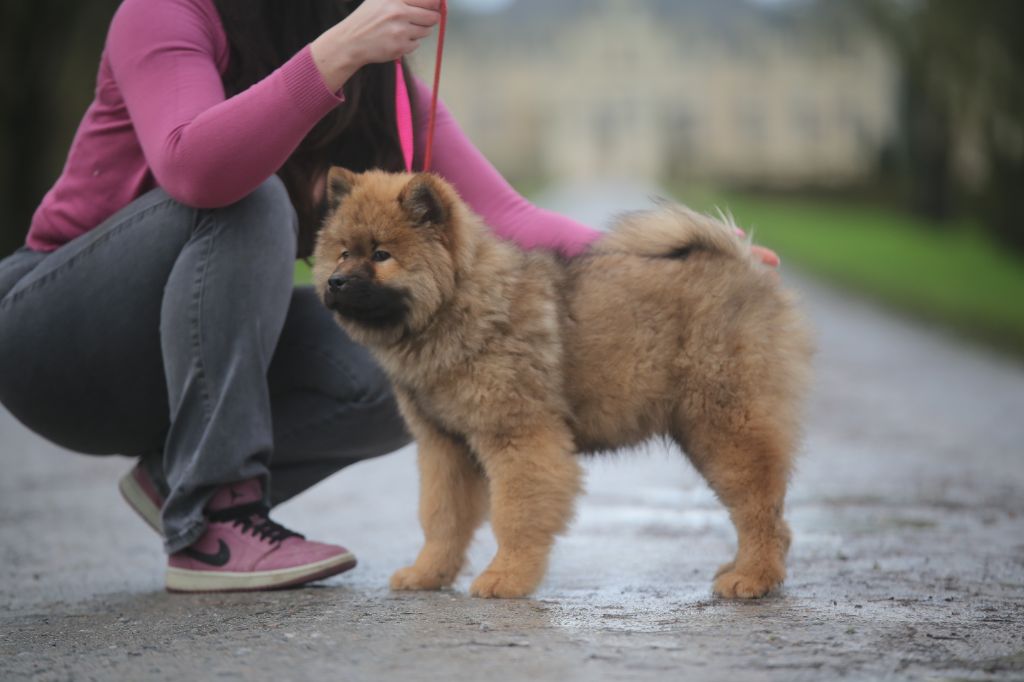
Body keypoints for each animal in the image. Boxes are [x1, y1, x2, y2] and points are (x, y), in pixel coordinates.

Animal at [315, 166, 811, 598]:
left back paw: (752, 578)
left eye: (381, 254)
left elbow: (516, 514)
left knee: (760, 509)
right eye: (343, 251)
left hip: (724, 424)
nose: (336, 282)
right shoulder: (444, 447)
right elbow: (442, 518)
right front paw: (428, 573)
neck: (454, 303)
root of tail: (744, 263)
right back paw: (742, 569)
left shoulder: (518, 436)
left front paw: (506, 578)